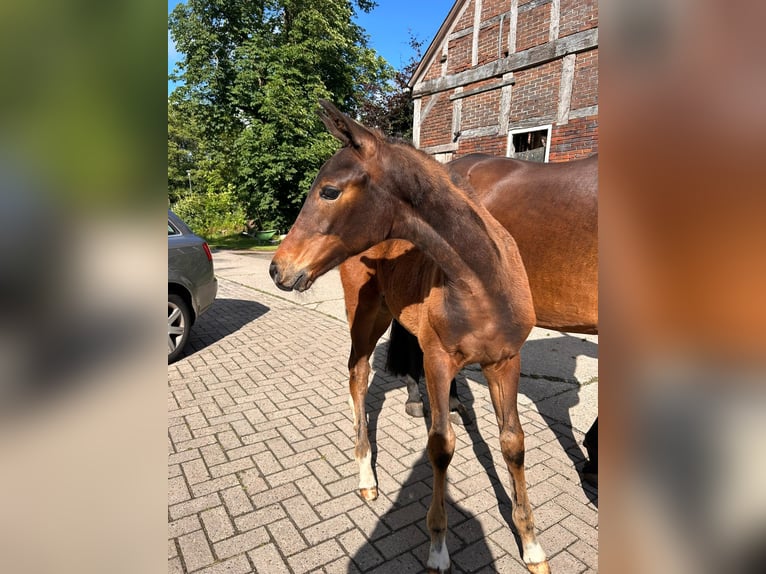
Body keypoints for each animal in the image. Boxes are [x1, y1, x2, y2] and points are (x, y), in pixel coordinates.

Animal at [270, 100, 550, 574]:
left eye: (330, 191)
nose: (278, 269)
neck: (482, 281)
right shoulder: (437, 359)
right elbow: (441, 445)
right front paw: (438, 547)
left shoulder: (505, 361)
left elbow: (513, 443)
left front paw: (531, 544)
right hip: (365, 315)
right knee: (358, 375)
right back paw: (366, 475)